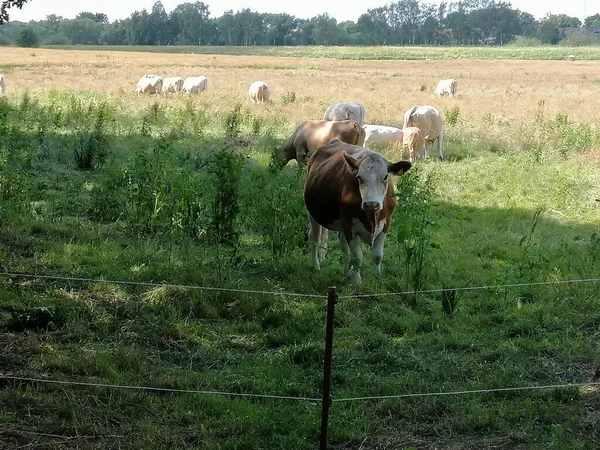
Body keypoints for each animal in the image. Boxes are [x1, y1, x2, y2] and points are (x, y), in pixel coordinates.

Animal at [304, 139, 412, 284]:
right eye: (359, 177)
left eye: (385, 177)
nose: (371, 204)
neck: (372, 219)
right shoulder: (349, 225)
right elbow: (357, 255)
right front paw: (356, 281)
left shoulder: (386, 223)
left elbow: (377, 255)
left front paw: (377, 277)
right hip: (314, 214)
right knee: (314, 238)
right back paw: (315, 265)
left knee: (343, 246)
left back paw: (346, 272)